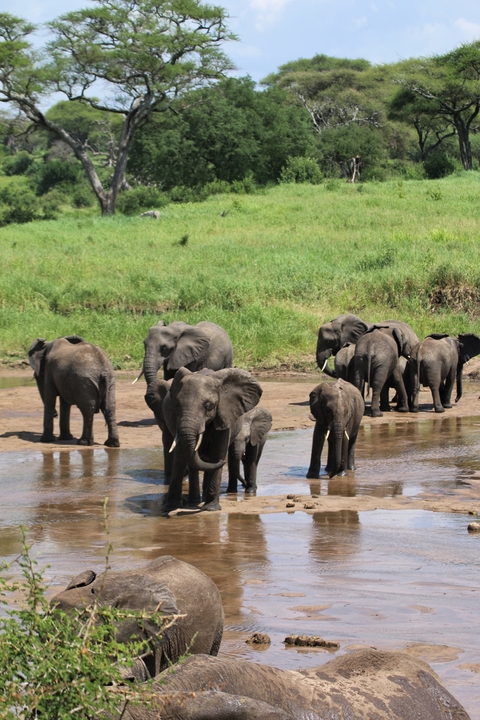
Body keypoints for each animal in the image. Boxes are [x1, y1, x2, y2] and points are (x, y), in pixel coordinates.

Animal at [160, 367, 263, 513]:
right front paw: (170, 507)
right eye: (176, 405)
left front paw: (211, 508)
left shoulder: (224, 415)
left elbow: (216, 453)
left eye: (208, 406)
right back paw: (194, 502)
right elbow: (180, 455)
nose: (222, 461)